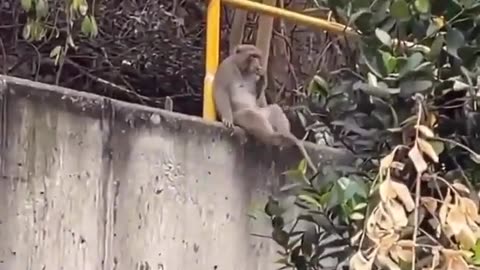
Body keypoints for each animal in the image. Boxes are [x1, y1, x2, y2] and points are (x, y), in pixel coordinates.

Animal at [213, 43, 318, 174]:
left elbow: (259, 97)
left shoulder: (254, 77)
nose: (258, 65)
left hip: (263, 112)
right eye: (252, 56)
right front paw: (227, 118)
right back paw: (275, 138)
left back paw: (286, 134)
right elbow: (221, 91)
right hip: (241, 115)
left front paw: (263, 78)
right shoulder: (226, 67)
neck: (242, 69)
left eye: (257, 56)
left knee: (274, 109)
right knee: (253, 118)